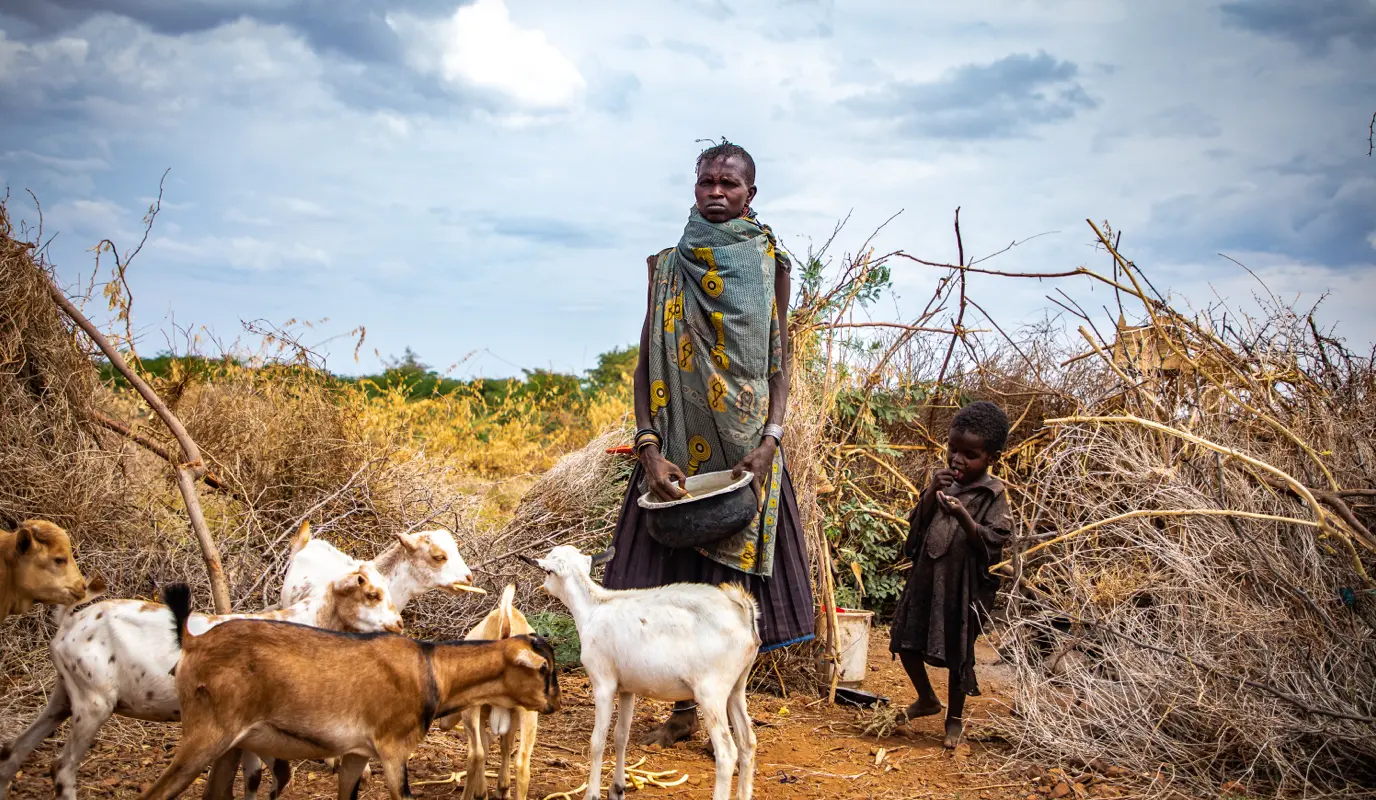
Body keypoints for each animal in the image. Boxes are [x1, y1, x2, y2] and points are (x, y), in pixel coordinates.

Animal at [0, 561, 401, 798]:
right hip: (93, 703)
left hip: (64, 697)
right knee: (62, 768)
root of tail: (69, 623)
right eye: (372, 594)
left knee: (13, 752)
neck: (306, 622)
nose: (398, 625)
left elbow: (253, 778)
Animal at [141, 581, 564, 798]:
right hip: (206, 735)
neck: (431, 668)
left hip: (230, 746)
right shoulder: (393, 751)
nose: (556, 703)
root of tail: (192, 641)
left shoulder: (357, 755)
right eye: (544, 668)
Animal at [522, 542, 765, 798]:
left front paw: (593, 793)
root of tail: (742, 610)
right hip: (736, 688)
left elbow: (598, 740)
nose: (543, 587)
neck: (594, 606)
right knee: (748, 743)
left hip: (712, 692)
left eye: (549, 571)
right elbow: (621, 736)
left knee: (727, 752)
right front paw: (617, 788)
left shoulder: (603, 683)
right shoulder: (627, 688)